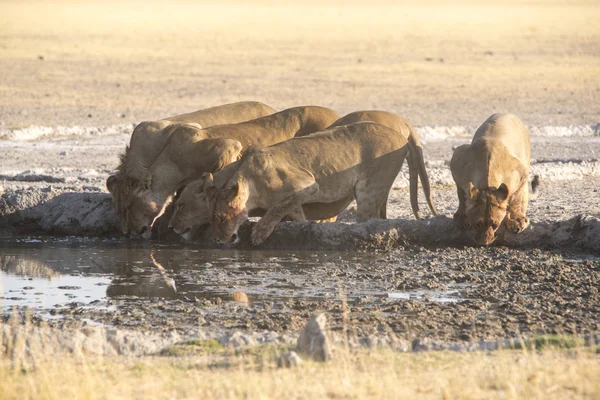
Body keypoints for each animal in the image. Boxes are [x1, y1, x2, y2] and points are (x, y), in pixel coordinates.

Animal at [195, 122, 410, 245]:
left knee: (367, 219)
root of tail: (401, 136)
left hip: (369, 190)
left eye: (222, 218)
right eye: (211, 219)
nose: (217, 239)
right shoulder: (296, 199)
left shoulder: (308, 185)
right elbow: (292, 212)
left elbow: (276, 207)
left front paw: (259, 233)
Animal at [450, 111, 540, 244]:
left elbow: (515, 199)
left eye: (495, 225)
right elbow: (461, 195)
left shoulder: (521, 173)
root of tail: (507, 113)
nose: (484, 243)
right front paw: (461, 217)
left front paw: (517, 220)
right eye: (477, 224)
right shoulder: (457, 162)